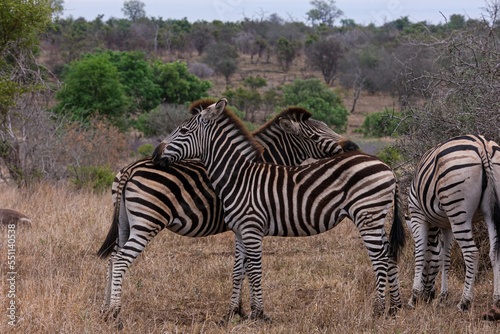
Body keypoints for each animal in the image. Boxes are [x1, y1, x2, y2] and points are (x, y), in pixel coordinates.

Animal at [97, 98, 364, 324]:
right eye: (316, 134)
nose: (353, 146)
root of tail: (129, 169)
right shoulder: (250, 223)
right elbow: (248, 268)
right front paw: (247, 311)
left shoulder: (244, 226)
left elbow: (241, 268)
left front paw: (239, 311)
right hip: (147, 222)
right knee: (120, 260)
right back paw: (116, 315)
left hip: (125, 223)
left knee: (112, 258)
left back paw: (105, 311)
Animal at [151, 98, 406, 324]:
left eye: (183, 130)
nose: (155, 156)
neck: (238, 177)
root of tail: (387, 167)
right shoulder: (239, 231)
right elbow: (238, 270)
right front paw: (235, 313)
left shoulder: (252, 228)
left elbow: (255, 270)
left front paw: (259, 315)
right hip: (375, 217)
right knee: (388, 254)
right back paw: (394, 308)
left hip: (367, 215)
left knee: (379, 258)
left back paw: (378, 310)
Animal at [406, 134, 500, 318]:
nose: (428, 297)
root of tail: (482, 145)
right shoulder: (446, 226)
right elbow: (445, 258)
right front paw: (443, 297)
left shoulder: (417, 215)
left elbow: (420, 254)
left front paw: (413, 297)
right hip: (489, 211)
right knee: (495, 252)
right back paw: (496, 302)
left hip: (458, 211)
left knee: (472, 253)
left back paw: (464, 303)